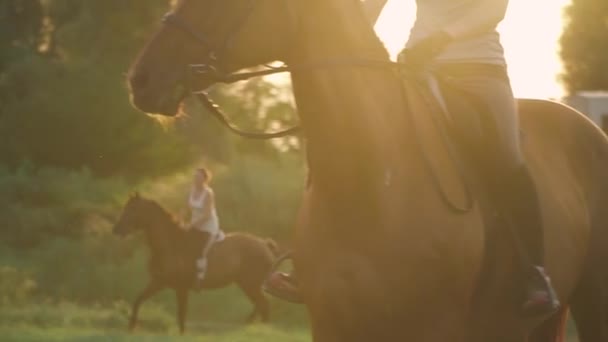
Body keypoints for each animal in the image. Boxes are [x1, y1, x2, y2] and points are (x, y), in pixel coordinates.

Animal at [113, 192, 276, 334]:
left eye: (133, 209)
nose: (117, 229)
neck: (171, 244)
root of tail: (264, 244)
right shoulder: (158, 282)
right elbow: (138, 299)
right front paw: (131, 327)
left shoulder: (181, 287)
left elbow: (181, 313)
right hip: (247, 284)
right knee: (261, 306)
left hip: (251, 284)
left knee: (264, 306)